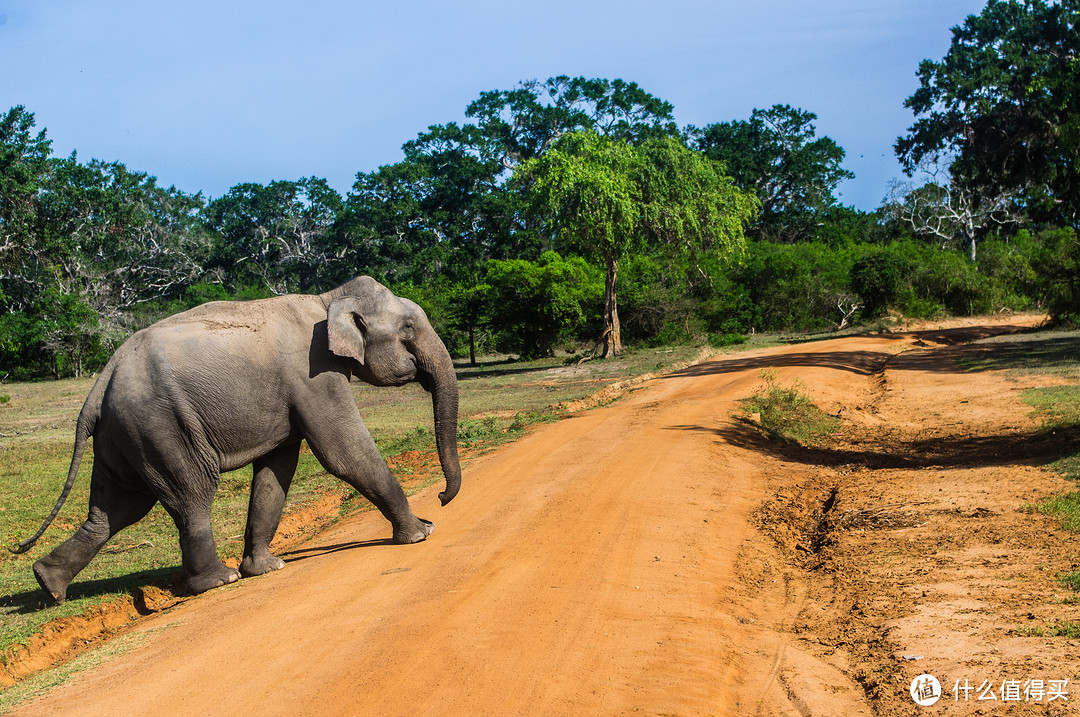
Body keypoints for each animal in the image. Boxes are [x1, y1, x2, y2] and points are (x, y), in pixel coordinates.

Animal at [10, 276, 462, 600]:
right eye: (408, 327)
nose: (441, 498)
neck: (327, 298)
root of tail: (100, 383)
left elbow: (278, 467)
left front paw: (267, 568)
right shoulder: (313, 374)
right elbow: (343, 452)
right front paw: (421, 533)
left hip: (125, 436)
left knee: (117, 509)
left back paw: (49, 585)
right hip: (161, 428)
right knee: (191, 494)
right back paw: (218, 581)